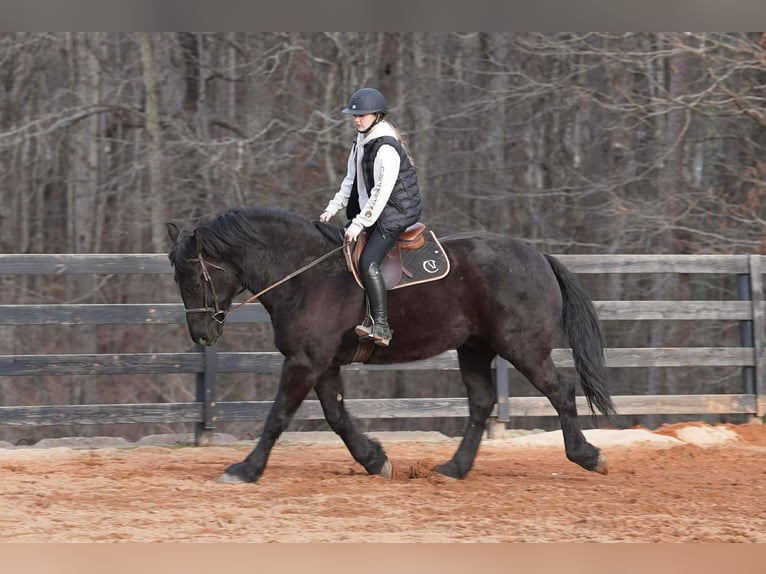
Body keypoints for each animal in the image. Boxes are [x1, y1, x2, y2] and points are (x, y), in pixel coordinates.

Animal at [166, 206, 616, 484]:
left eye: (194, 278)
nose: (202, 335)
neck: (307, 274)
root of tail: (539, 257)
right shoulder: (321, 363)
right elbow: (337, 416)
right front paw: (375, 460)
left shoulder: (304, 361)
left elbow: (277, 417)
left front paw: (245, 469)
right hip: (475, 348)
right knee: (481, 402)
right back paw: (454, 468)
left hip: (522, 348)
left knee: (560, 391)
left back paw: (587, 455)